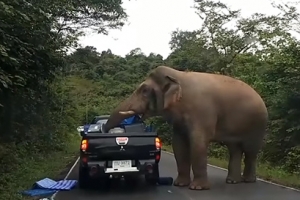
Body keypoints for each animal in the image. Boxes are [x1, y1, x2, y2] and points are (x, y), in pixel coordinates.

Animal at [102, 65, 268, 191]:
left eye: (144, 91)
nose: (104, 129)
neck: (178, 75)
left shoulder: (202, 111)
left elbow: (198, 143)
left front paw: (198, 188)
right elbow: (179, 144)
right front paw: (179, 184)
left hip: (258, 125)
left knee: (251, 151)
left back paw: (248, 180)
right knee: (234, 149)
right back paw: (232, 181)